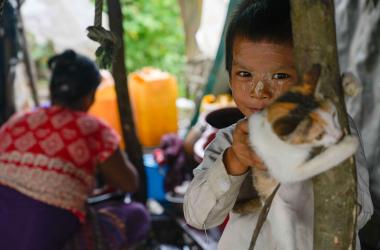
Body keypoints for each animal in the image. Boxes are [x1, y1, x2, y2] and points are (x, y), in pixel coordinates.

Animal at [233, 66, 360, 250]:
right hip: (280, 215)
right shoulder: (287, 170)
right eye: (319, 135)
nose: (339, 135)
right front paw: (347, 146)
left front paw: (349, 84)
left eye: (334, 115)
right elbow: (317, 163)